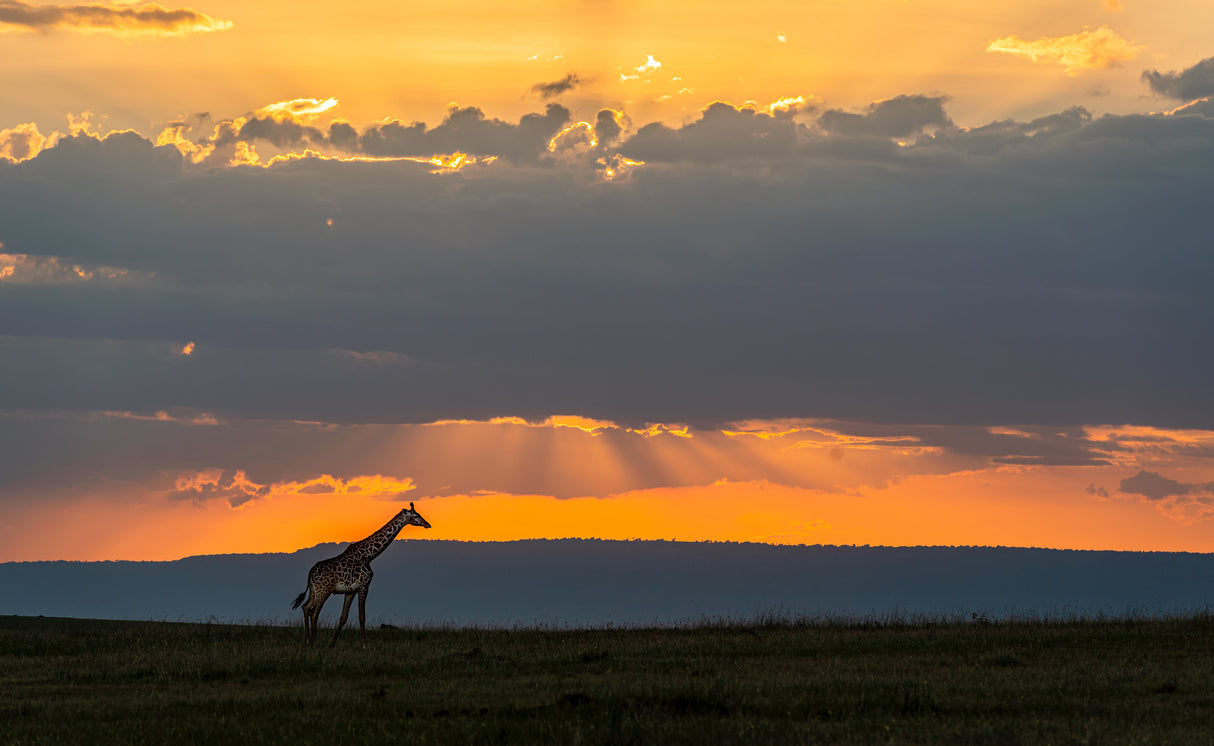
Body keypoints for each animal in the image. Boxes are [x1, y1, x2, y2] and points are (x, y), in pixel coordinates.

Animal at [291, 502, 431, 647]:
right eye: (416, 515)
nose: (428, 524)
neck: (369, 555)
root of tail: (310, 574)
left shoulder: (351, 591)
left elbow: (343, 617)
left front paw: (332, 644)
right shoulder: (364, 586)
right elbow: (362, 617)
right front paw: (364, 645)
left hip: (314, 590)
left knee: (306, 607)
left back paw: (307, 641)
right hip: (324, 590)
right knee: (314, 612)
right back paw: (314, 642)